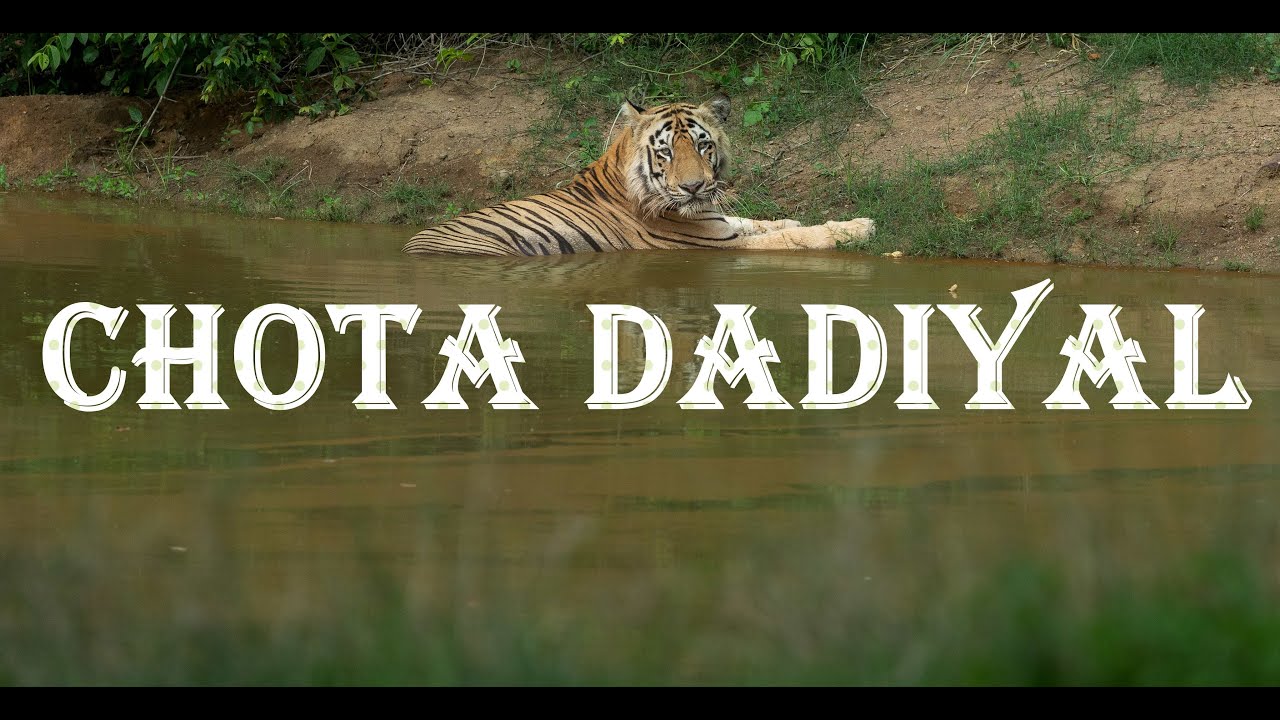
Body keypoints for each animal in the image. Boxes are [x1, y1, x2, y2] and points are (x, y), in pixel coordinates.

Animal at [401, 94, 875, 256]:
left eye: (702, 145)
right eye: (665, 151)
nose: (694, 186)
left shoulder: (718, 222)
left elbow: (762, 221)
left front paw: (796, 217)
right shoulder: (715, 245)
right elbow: (793, 238)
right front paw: (861, 226)